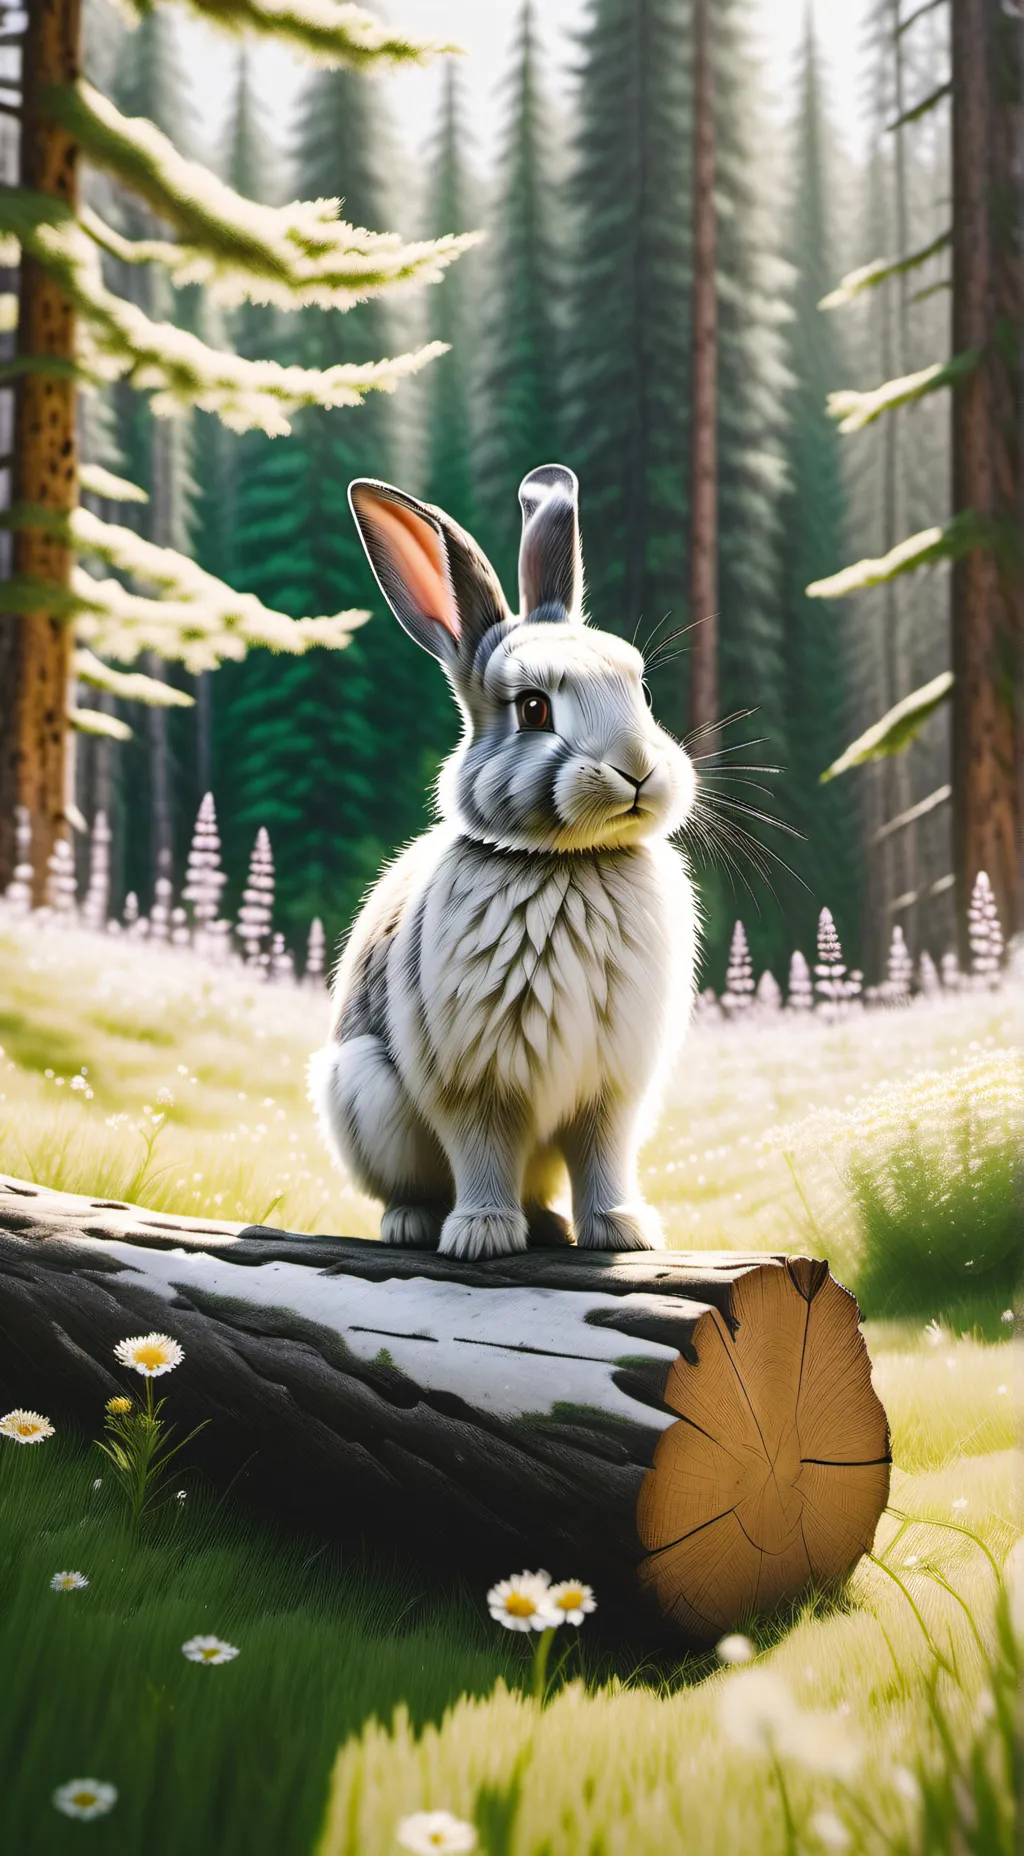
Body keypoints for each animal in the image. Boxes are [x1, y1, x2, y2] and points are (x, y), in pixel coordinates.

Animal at [309, 464, 699, 1261]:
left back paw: (550, 1225)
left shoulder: (611, 1088)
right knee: (416, 1184)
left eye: (641, 689)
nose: (638, 770)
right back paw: (419, 1223)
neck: (566, 862)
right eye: (533, 709)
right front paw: (482, 1238)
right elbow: (482, 1147)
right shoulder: (476, 1081)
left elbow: (603, 1154)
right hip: (362, 1089)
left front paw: (623, 1231)